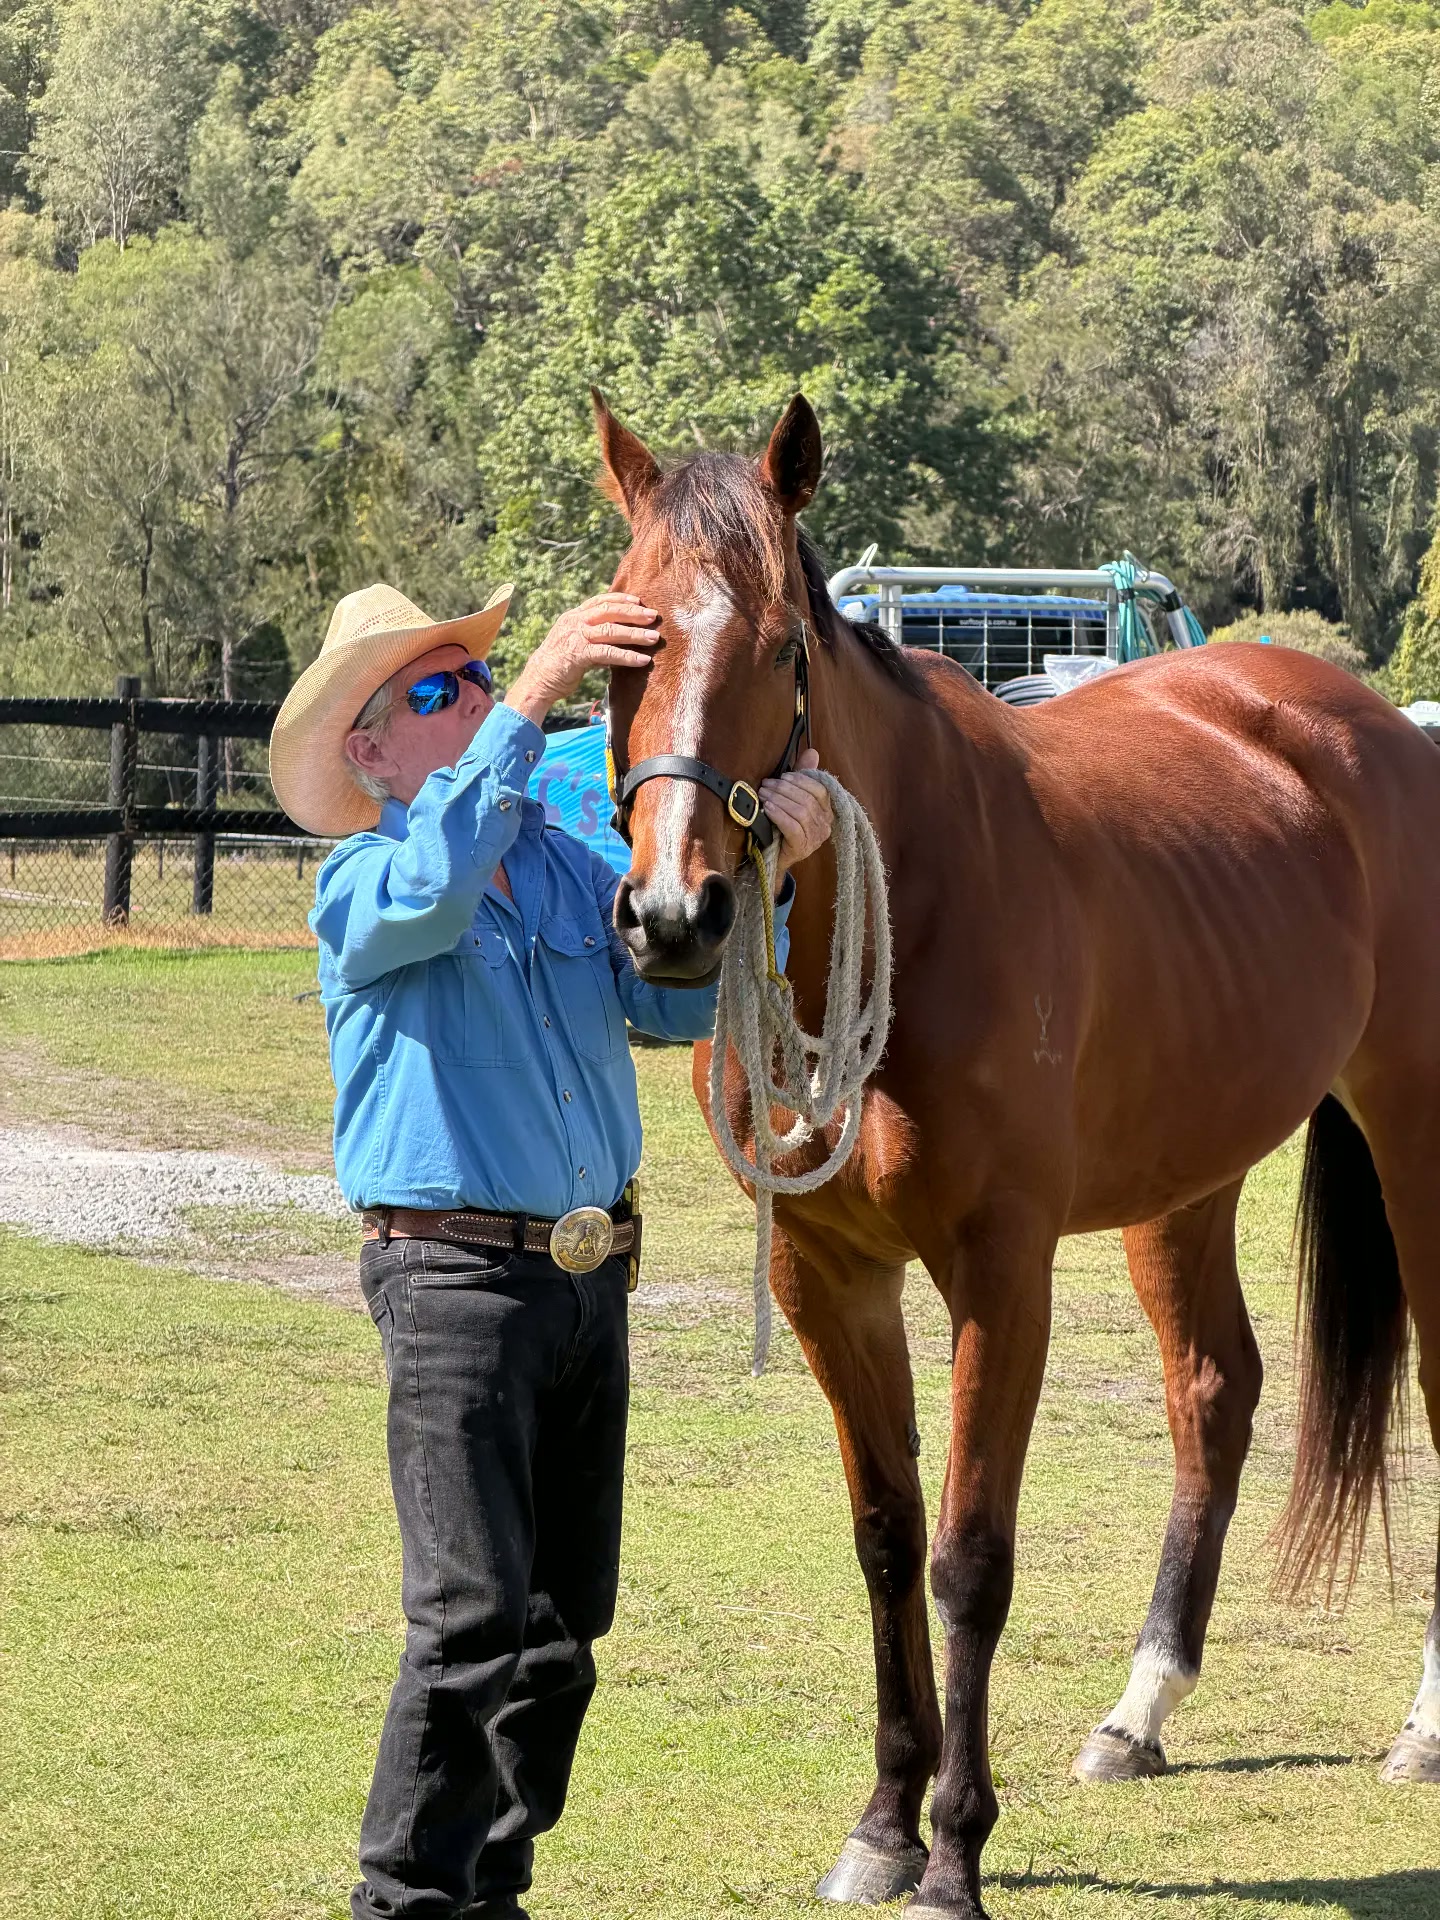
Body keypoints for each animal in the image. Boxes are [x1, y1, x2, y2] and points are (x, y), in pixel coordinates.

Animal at [593, 388, 1440, 1918]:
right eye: (629, 637)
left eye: (780, 646)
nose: (673, 915)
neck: (907, 904)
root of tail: (1371, 731)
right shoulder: (828, 1274)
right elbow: (883, 1541)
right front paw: (883, 1821)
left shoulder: (1001, 1271)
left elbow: (968, 1560)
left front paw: (953, 1851)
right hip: (1187, 1177)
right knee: (1214, 1391)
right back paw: (1139, 1713)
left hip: (1414, 1127)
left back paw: (1423, 1729)